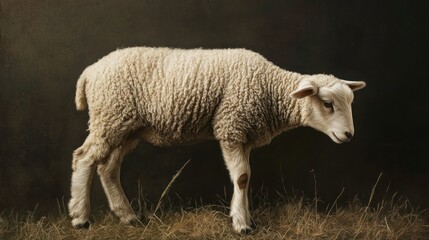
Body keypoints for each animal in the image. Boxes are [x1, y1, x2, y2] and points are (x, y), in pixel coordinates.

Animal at [67, 46, 364, 232]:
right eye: (327, 103)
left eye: (350, 102)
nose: (348, 135)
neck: (270, 89)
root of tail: (90, 71)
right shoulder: (231, 126)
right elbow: (242, 177)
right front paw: (242, 224)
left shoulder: (243, 134)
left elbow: (245, 177)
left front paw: (246, 218)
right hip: (110, 117)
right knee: (84, 158)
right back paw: (80, 218)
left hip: (125, 127)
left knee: (108, 167)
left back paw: (128, 216)